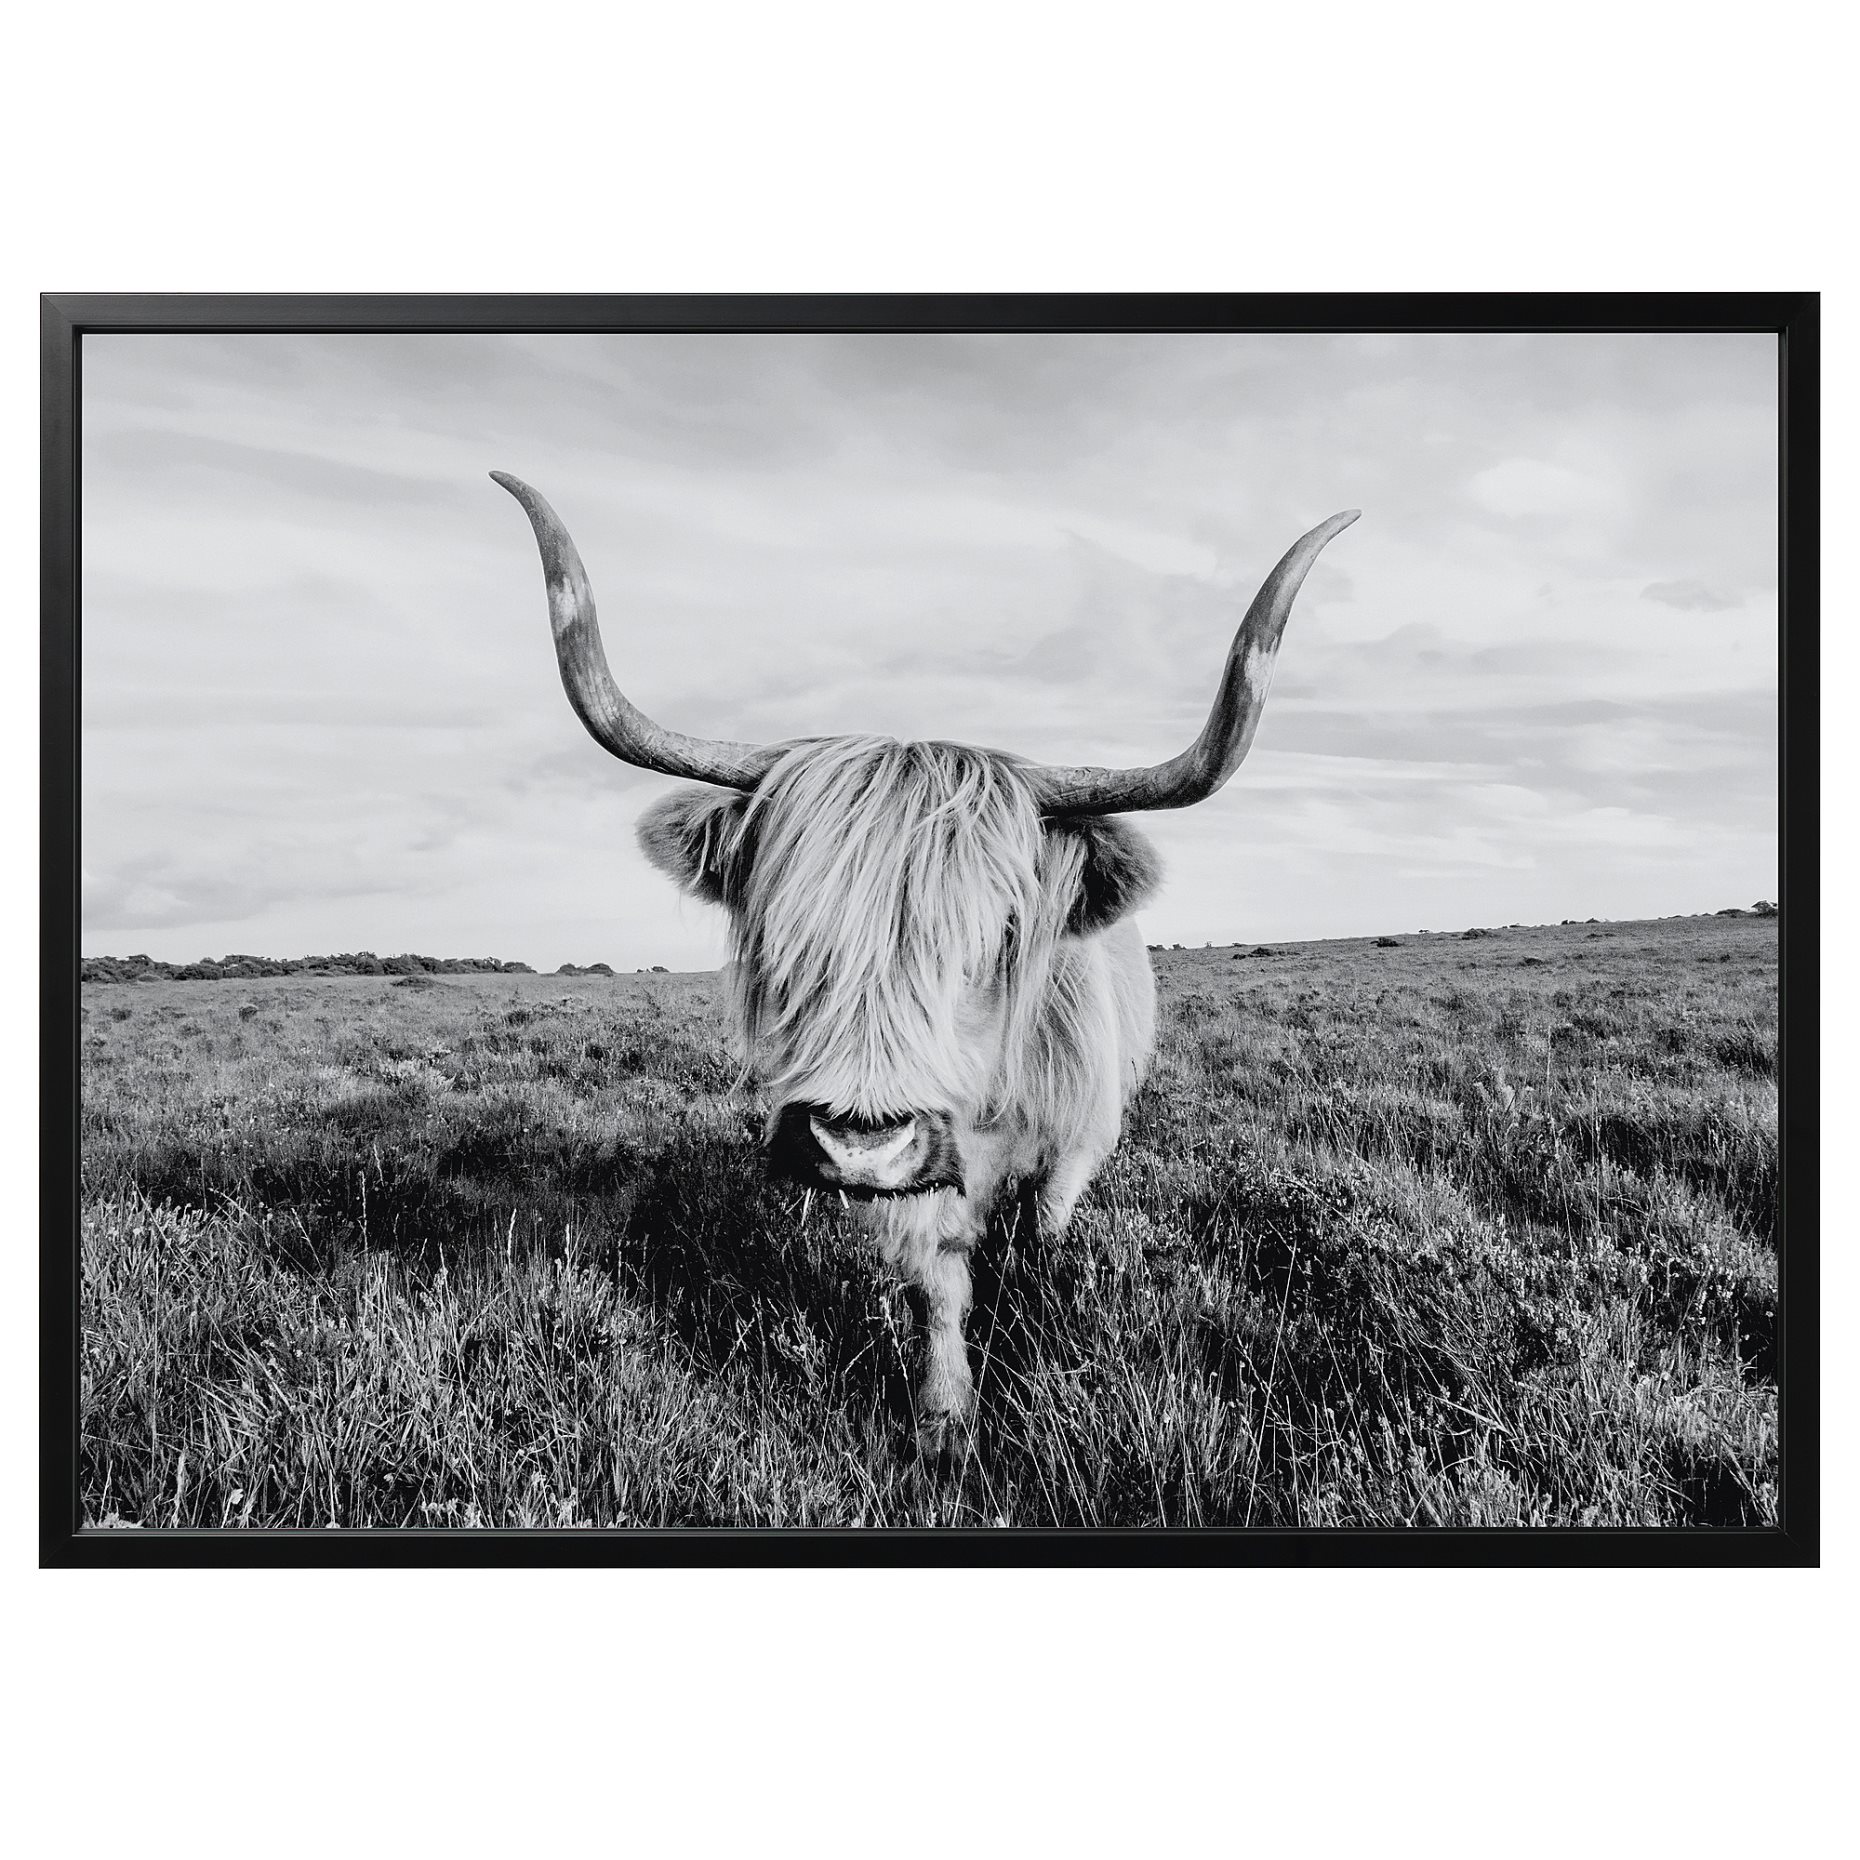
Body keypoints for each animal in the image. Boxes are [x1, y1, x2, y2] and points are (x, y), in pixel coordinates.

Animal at [494, 471, 1356, 1450]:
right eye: (784, 931)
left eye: (1000, 936)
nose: (859, 1145)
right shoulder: (920, 1191)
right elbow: (937, 1282)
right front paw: (944, 1418)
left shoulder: (1074, 1145)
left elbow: (1043, 1237)